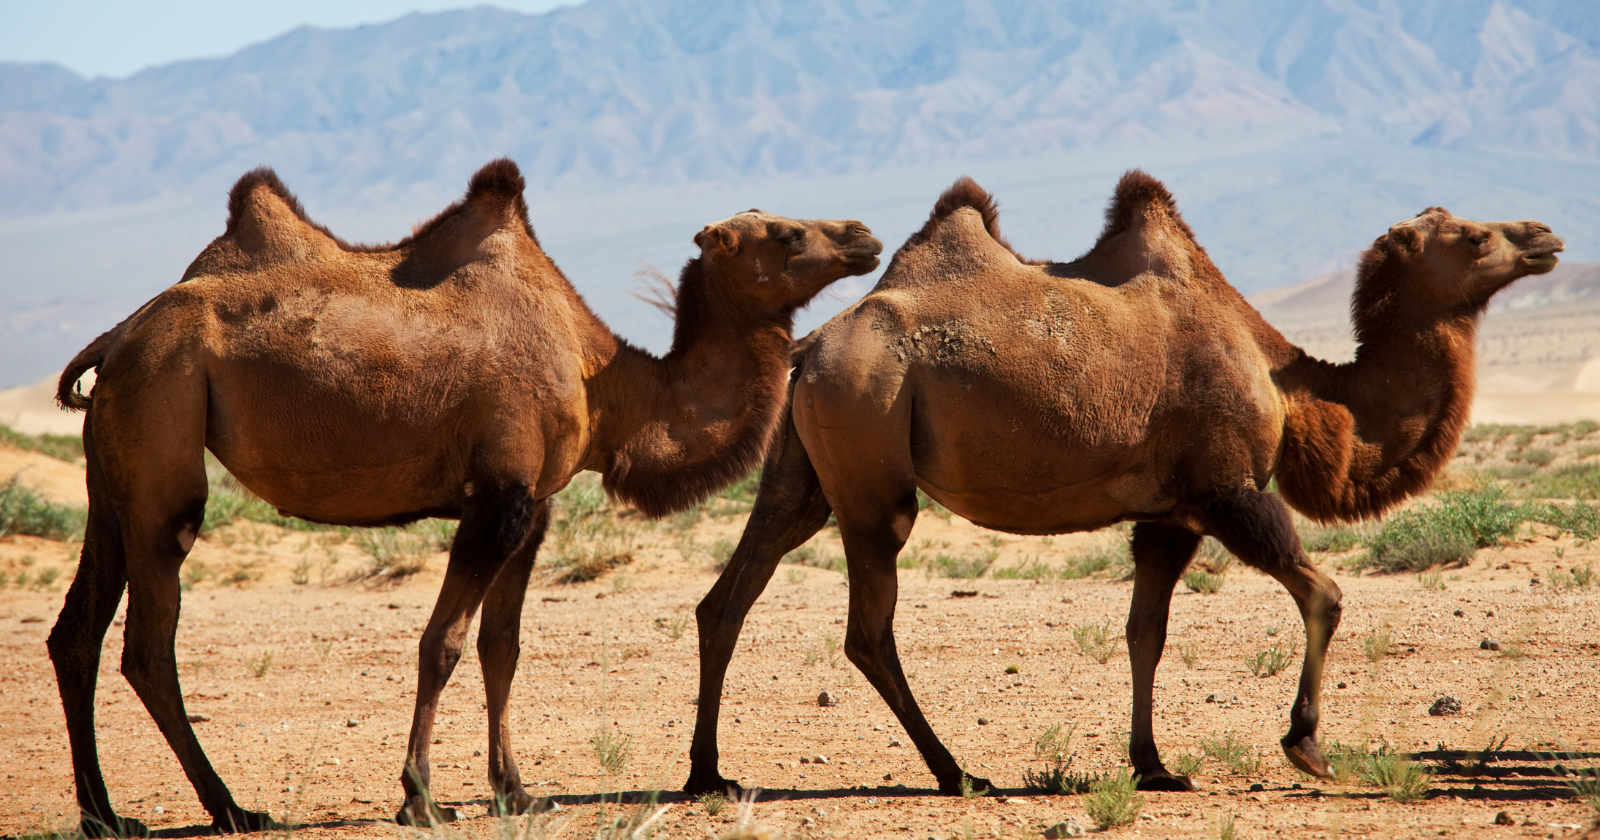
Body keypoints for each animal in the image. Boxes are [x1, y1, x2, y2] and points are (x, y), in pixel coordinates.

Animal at [48, 158, 882, 834]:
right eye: (783, 233)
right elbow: (442, 642)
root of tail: (117, 337)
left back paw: (106, 817)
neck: (605, 381)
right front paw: (420, 798)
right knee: (148, 642)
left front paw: (516, 791)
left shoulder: (535, 507)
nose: (864, 234)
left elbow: (500, 646)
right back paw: (230, 808)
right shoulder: (497, 497)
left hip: (114, 467)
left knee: (75, 632)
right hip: (165, 425)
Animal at [685, 172, 1563, 797]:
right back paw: (957, 772)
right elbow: (1324, 593)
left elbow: (1146, 631)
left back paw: (708, 775)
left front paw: (1153, 763)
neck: (1288, 380)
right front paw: (1307, 745)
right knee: (868, 628)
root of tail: (809, 349)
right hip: (871, 468)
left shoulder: (1168, 514)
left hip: (803, 474)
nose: (1545, 234)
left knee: (729, 595)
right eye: (1472, 236)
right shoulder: (1226, 489)